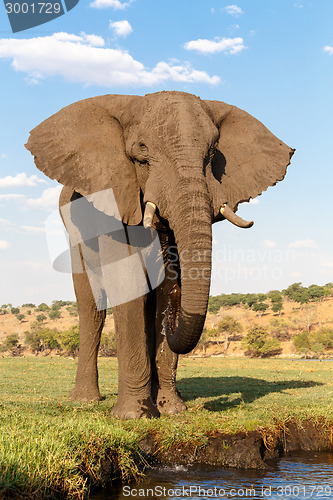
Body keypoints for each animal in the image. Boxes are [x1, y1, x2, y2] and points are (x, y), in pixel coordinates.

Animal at [24, 91, 292, 418]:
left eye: (213, 152)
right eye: (142, 150)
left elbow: (165, 290)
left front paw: (173, 410)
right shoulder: (114, 199)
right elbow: (129, 283)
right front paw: (133, 416)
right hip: (73, 231)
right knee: (91, 306)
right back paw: (85, 400)